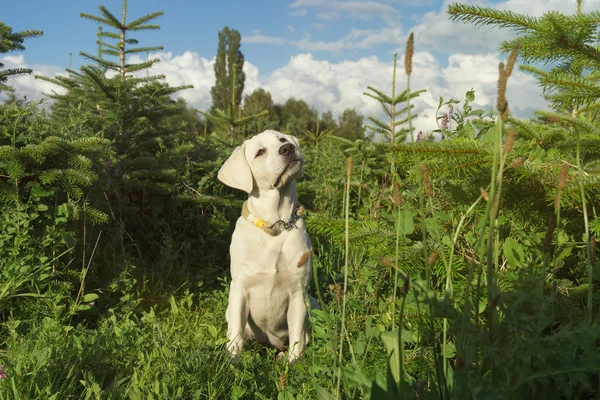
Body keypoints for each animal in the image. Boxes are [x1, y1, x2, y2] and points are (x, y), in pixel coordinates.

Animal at [219, 129, 314, 362]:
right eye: (260, 152)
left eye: (282, 139)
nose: (288, 148)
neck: (276, 224)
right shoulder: (239, 289)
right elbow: (235, 333)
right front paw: (233, 360)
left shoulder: (298, 293)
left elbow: (297, 337)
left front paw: (293, 363)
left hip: (312, 301)